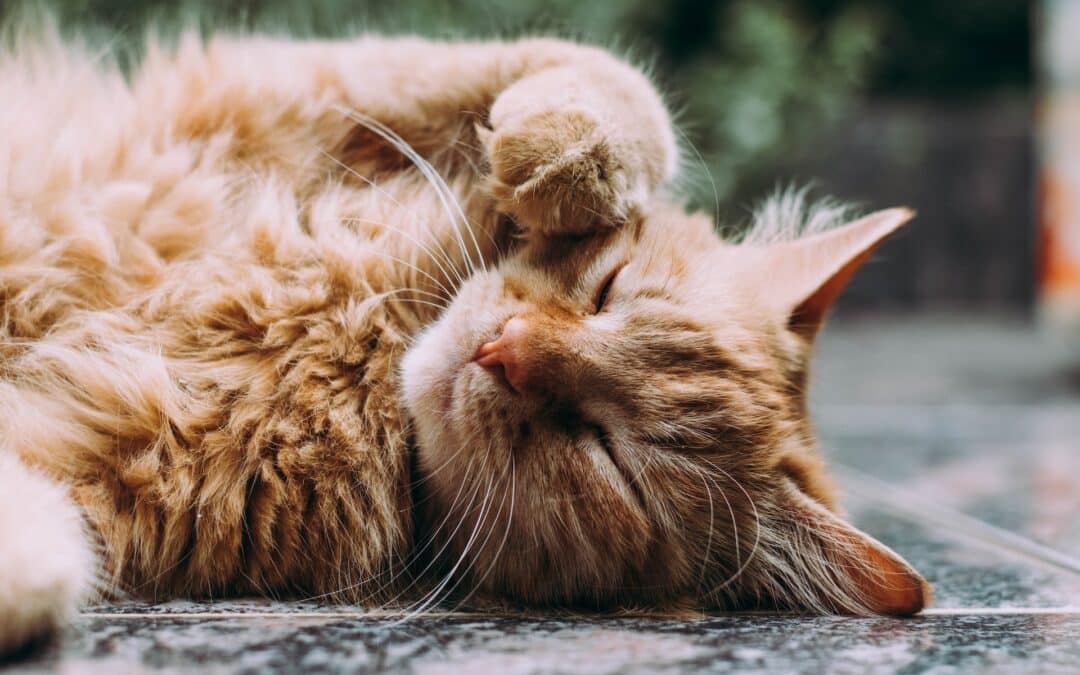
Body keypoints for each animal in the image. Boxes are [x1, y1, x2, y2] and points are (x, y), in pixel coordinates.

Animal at [0, 26, 928, 652]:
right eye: (608, 289)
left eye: (611, 458)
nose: (503, 350)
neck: (370, 337)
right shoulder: (278, 94)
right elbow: (611, 81)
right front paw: (561, 157)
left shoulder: (109, 476)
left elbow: (52, 543)